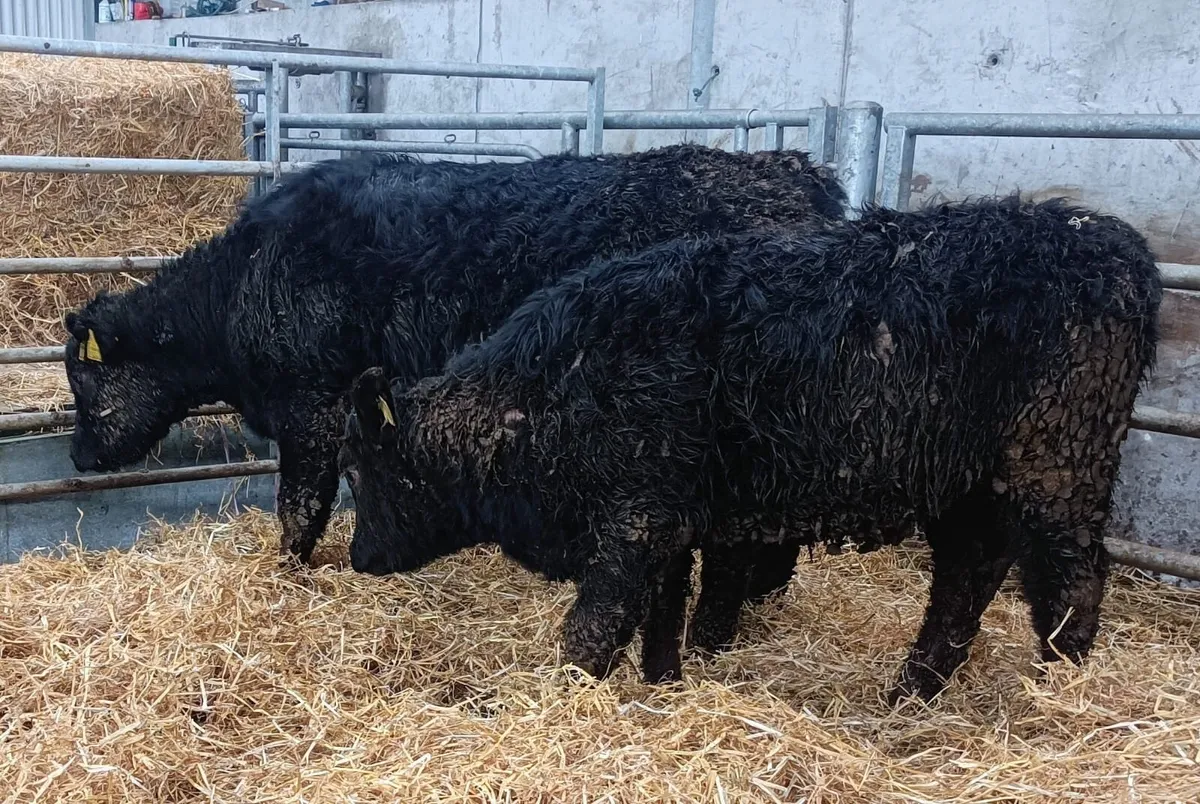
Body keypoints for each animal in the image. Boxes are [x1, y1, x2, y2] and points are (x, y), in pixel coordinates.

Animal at [62, 145, 846, 605]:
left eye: (83, 383)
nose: (75, 455)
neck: (244, 284)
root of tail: (798, 173)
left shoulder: (312, 408)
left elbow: (299, 507)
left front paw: (288, 574)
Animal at [340, 196, 1161, 699]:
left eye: (373, 470)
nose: (358, 558)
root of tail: (1107, 241)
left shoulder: (637, 521)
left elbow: (595, 626)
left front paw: (563, 703)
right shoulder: (670, 520)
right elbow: (663, 613)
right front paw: (663, 684)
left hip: (1057, 468)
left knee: (1073, 580)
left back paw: (1056, 694)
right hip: (969, 487)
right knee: (967, 580)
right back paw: (910, 693)